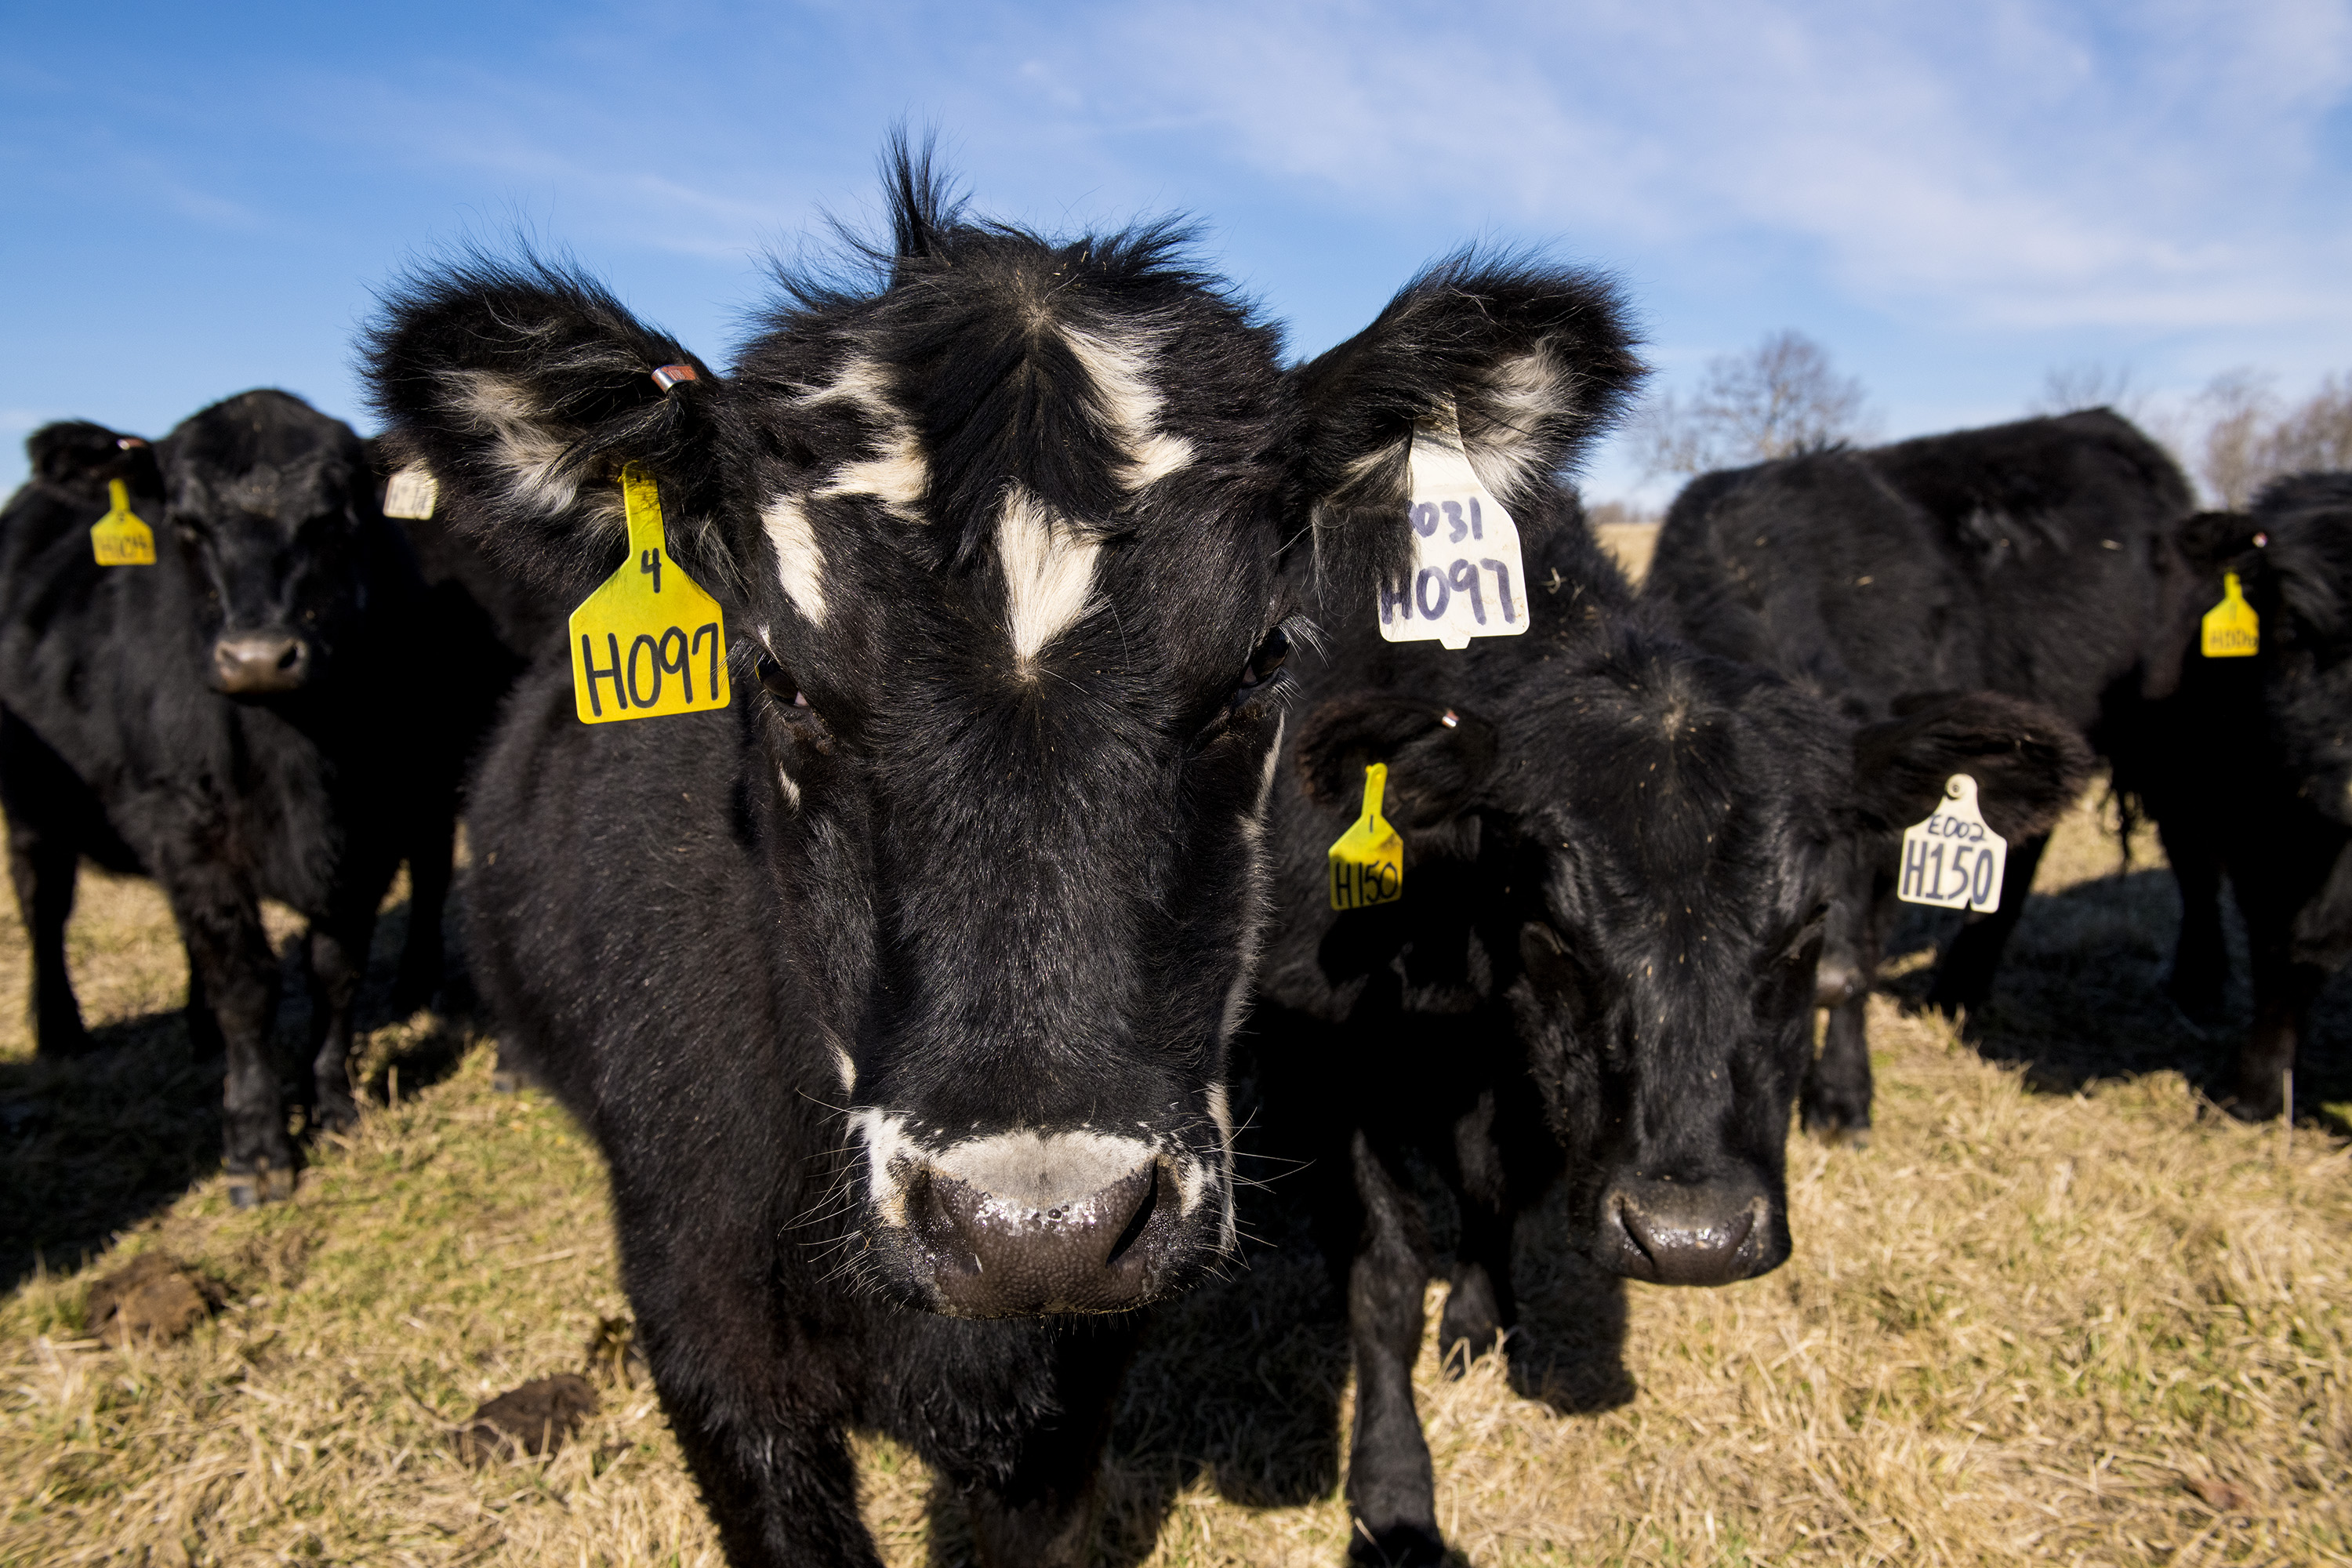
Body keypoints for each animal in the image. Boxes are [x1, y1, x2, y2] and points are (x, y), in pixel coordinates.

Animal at [0, 392, 459, 1204]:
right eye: (185, 524)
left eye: (336, 516)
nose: (257, 659)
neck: (300, 756)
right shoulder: (185, 825)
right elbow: (247, 983)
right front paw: (258, 1146)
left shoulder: (373, 826)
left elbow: (333, 968)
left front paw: (333, 1104)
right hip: (32, 799)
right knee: (42, 902)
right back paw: (60, 1030)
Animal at [1248, 488, 2092, 1565]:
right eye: (1548, 921)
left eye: (1806, 924)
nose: (1692, 1239)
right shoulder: (1326, 1054)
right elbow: (1385, 1272)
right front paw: (1395, 1490)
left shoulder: (1512, 1077)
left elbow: (1491, 1182)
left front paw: (1481, 1320)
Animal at [2131, 474, 2352, 1118]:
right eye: (2296, 630)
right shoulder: (2258, 827)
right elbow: (2282, 947)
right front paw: (2255, 1091)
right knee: (2198, 879)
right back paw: (2197, 985)